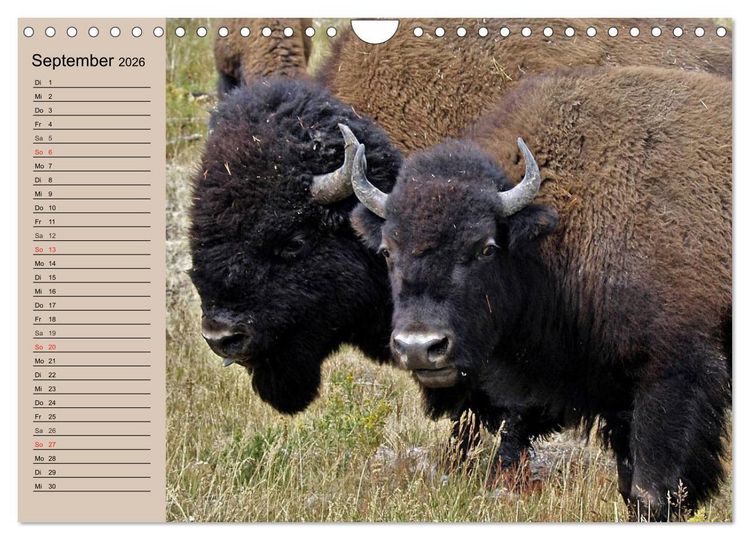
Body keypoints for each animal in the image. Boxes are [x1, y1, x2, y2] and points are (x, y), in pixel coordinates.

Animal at [349, 66, 731, 520]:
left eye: (485, 247)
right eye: (387, 250)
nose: (420, 347)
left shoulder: (673, 372)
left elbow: (650, 490)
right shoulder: (614, 390)